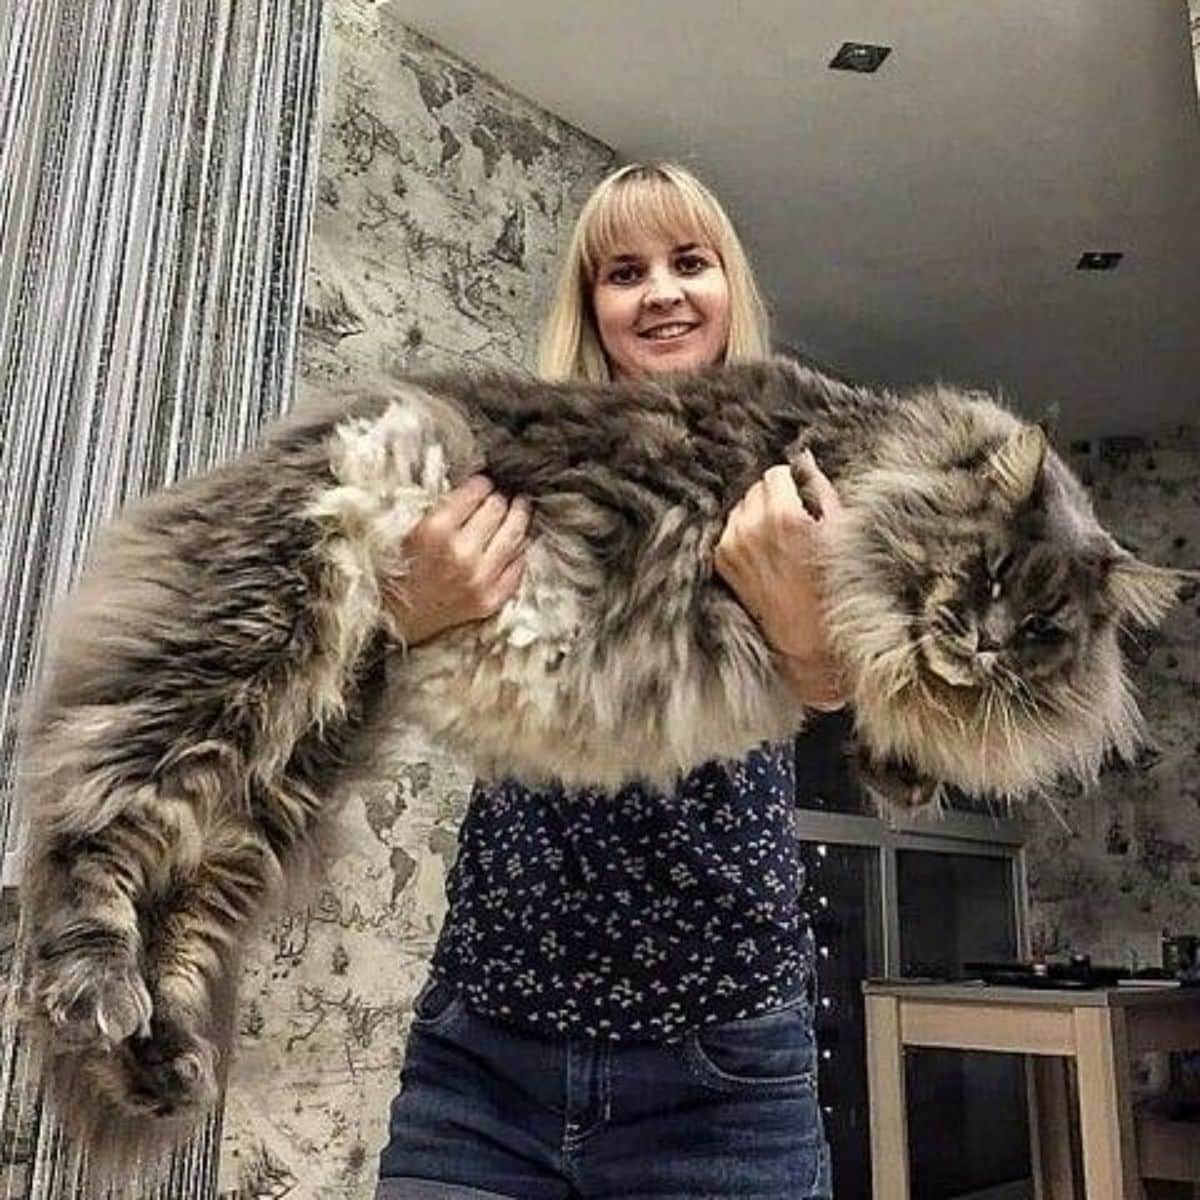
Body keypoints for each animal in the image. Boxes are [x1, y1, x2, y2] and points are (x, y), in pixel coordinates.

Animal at [16, 355, 1180, 1161]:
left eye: (1047, 628)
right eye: (990, 573)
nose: (985, 643)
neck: (876, 450)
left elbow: (889, 705)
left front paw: (908, 757)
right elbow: (880, 649)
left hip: (292, 764)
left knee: (186, 913)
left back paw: (166, 1058)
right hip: (248, 659)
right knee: (89, 830)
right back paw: (94, 987)